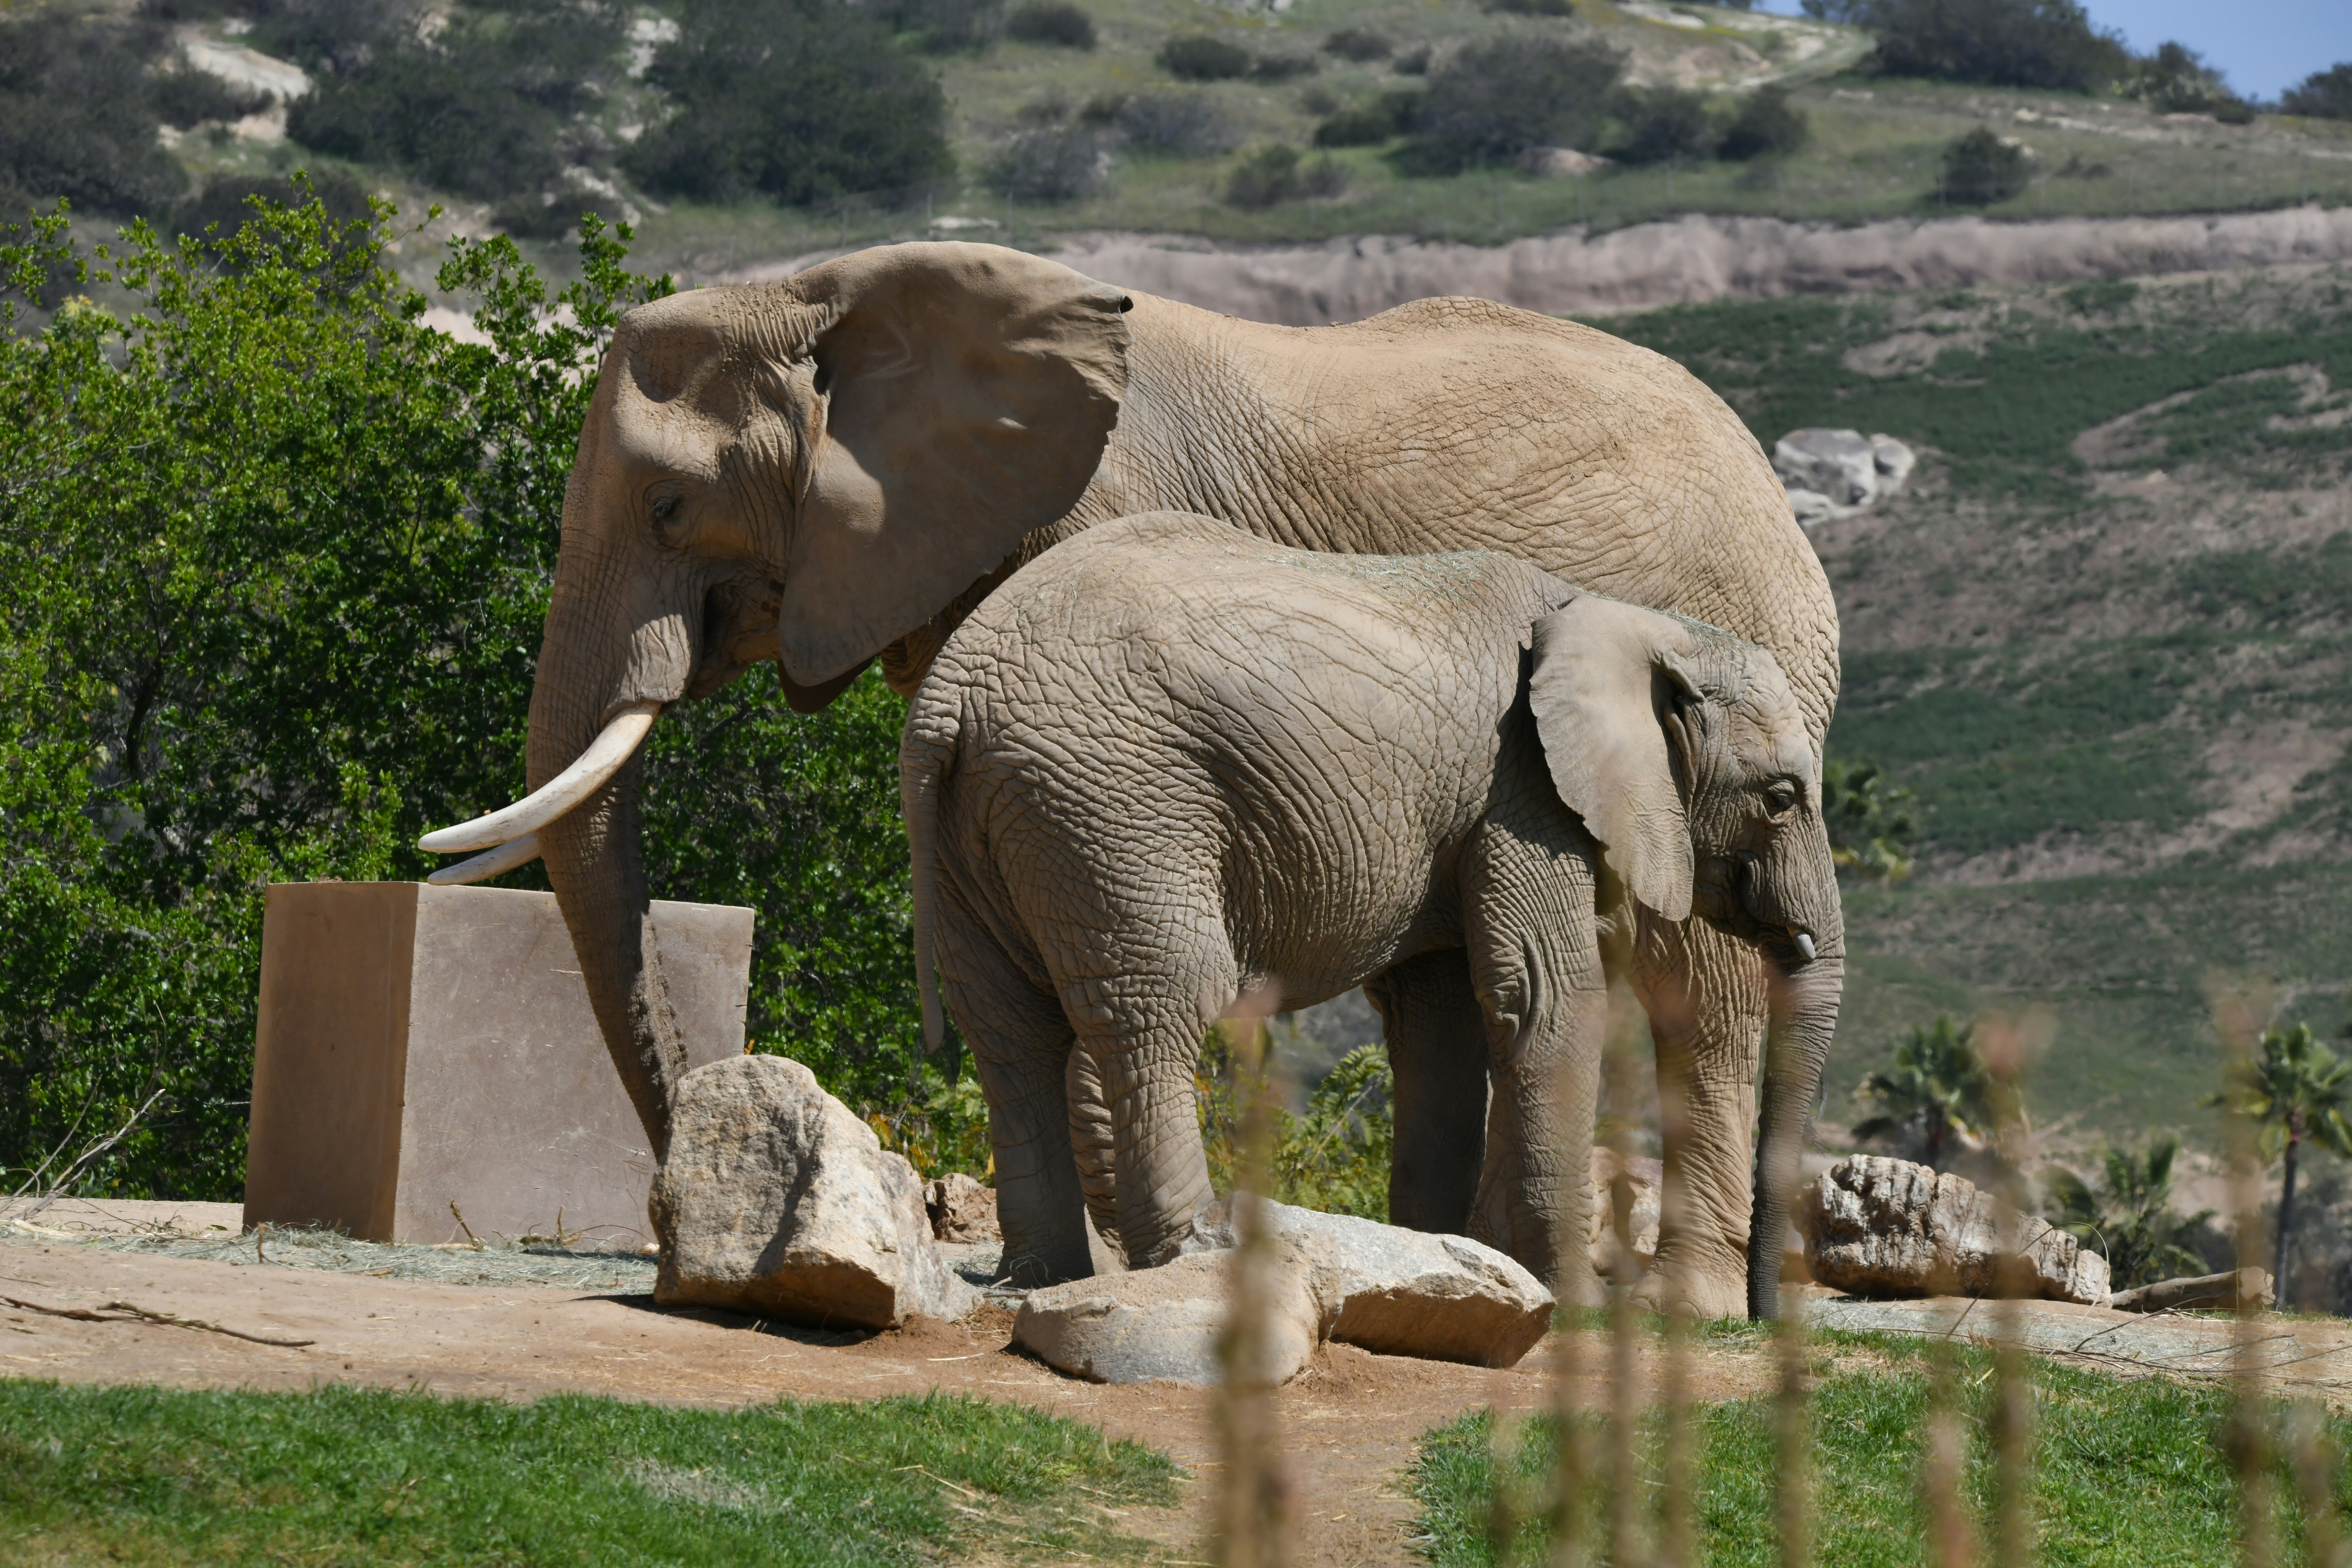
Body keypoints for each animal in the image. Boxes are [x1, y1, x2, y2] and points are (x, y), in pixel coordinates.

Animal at [898, 512, 1838, 1294]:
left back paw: (1050, 1276)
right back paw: (1190, 1255)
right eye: (1782, 797)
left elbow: (1444, 1018)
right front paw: (1563, 1293)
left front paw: (1455, 1260)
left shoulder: (1474, 812)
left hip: (981, 828)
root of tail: (951, 697)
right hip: (1114, 806)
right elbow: (1547, 997)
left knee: (1009, 1033)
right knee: (1156, 1007)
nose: (1760, 1314)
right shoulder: (1524, 791)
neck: (1630, 622)